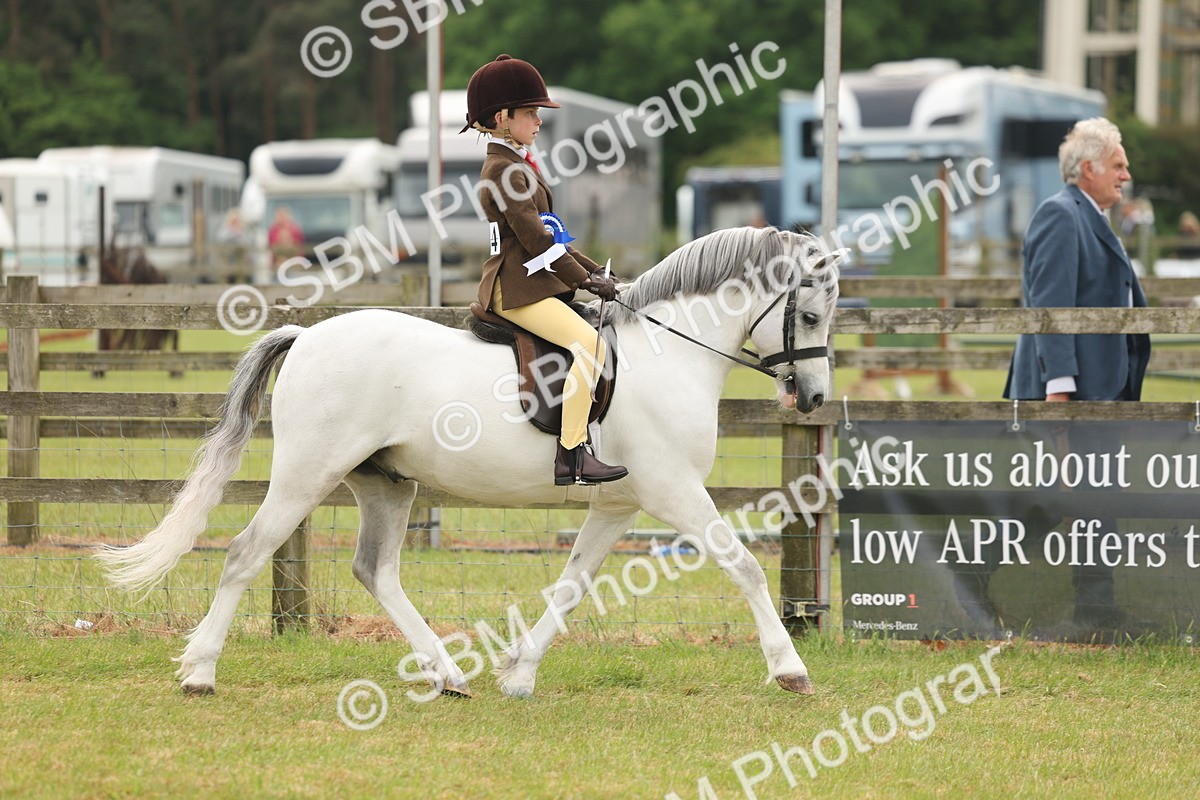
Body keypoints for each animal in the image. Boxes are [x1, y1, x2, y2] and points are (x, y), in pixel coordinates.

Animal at [99, 226, 840, 698]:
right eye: (810, 316)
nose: (814, 398)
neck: (668, 355)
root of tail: (306, 335)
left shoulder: (616, 504)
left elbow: (571, 585)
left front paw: (518, 673)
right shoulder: (674, 491)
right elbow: (745, 567)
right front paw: (790, 669)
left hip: (387, 486)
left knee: (376, 570)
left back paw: (448, 674)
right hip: (307, 476)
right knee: (245, 553)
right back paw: (200, 673)